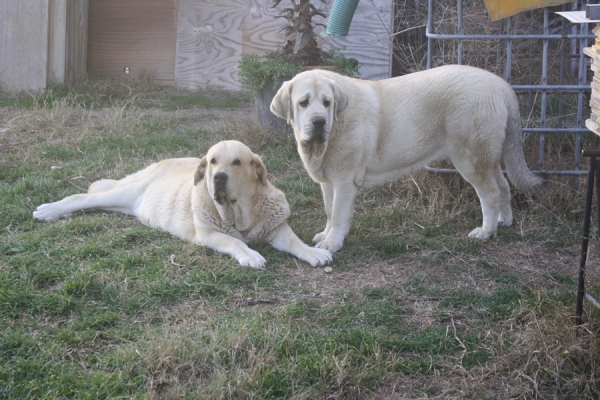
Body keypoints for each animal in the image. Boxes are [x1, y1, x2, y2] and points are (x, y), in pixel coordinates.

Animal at [32, 141, 332, 268]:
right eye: (212, 161)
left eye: (237, 162)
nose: (218, 176)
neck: (239, 213)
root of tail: (162, 161)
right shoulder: (209, 234)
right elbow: (235, 242)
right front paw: (250, 255)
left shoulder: (276, 227)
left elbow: (294, 242)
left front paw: (314, 253)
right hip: (123, 192)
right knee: (81, 198)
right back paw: (48, 210)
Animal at [270, 66, 548, 253]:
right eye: (303, 103)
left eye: (327, 103)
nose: (319, 122)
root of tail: (501, 85)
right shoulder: (330, 182)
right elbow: (330, 212)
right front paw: (326, 235)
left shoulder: (344, 182)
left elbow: (338, 214)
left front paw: (332, 243)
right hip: (488, 157)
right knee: (503, 186)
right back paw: (504, 221)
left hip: (470, 158)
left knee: (490, 193)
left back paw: (487, 231)